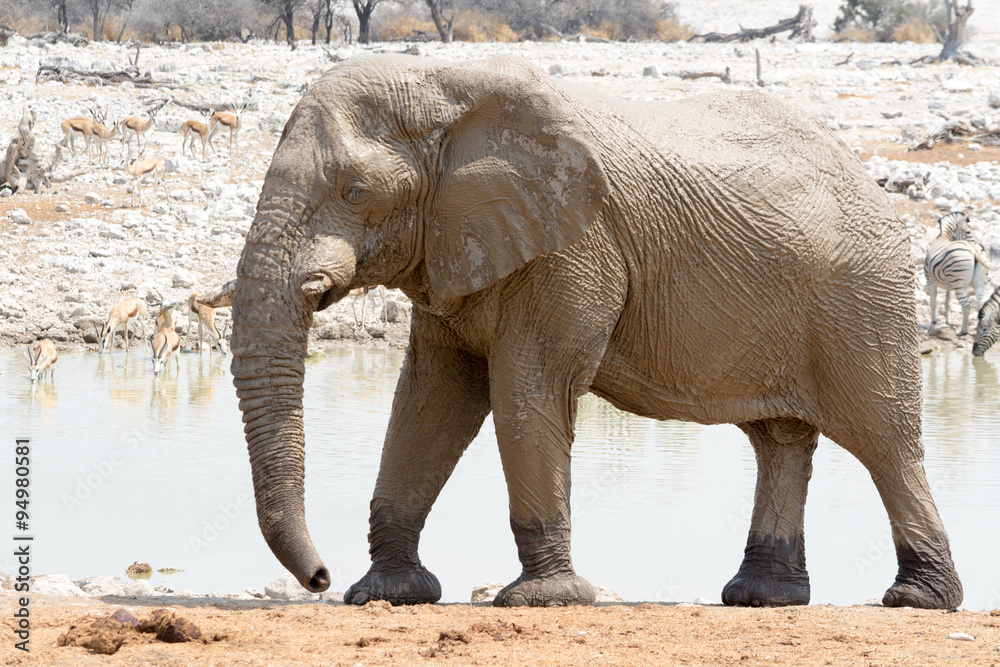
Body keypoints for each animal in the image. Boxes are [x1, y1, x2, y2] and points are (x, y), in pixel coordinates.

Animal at [230, 54, 963, 609]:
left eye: (354, 191)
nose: (318, 578)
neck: (445, 83)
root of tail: (871, 182)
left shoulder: (574, 247)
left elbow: (525, 391)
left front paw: (543, 599)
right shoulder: (452, 251)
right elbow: (429, 401)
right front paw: (388, 592)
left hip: (862, 296)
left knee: (884, 440)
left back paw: (917, 600)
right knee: (780, 440)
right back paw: (762, 597)